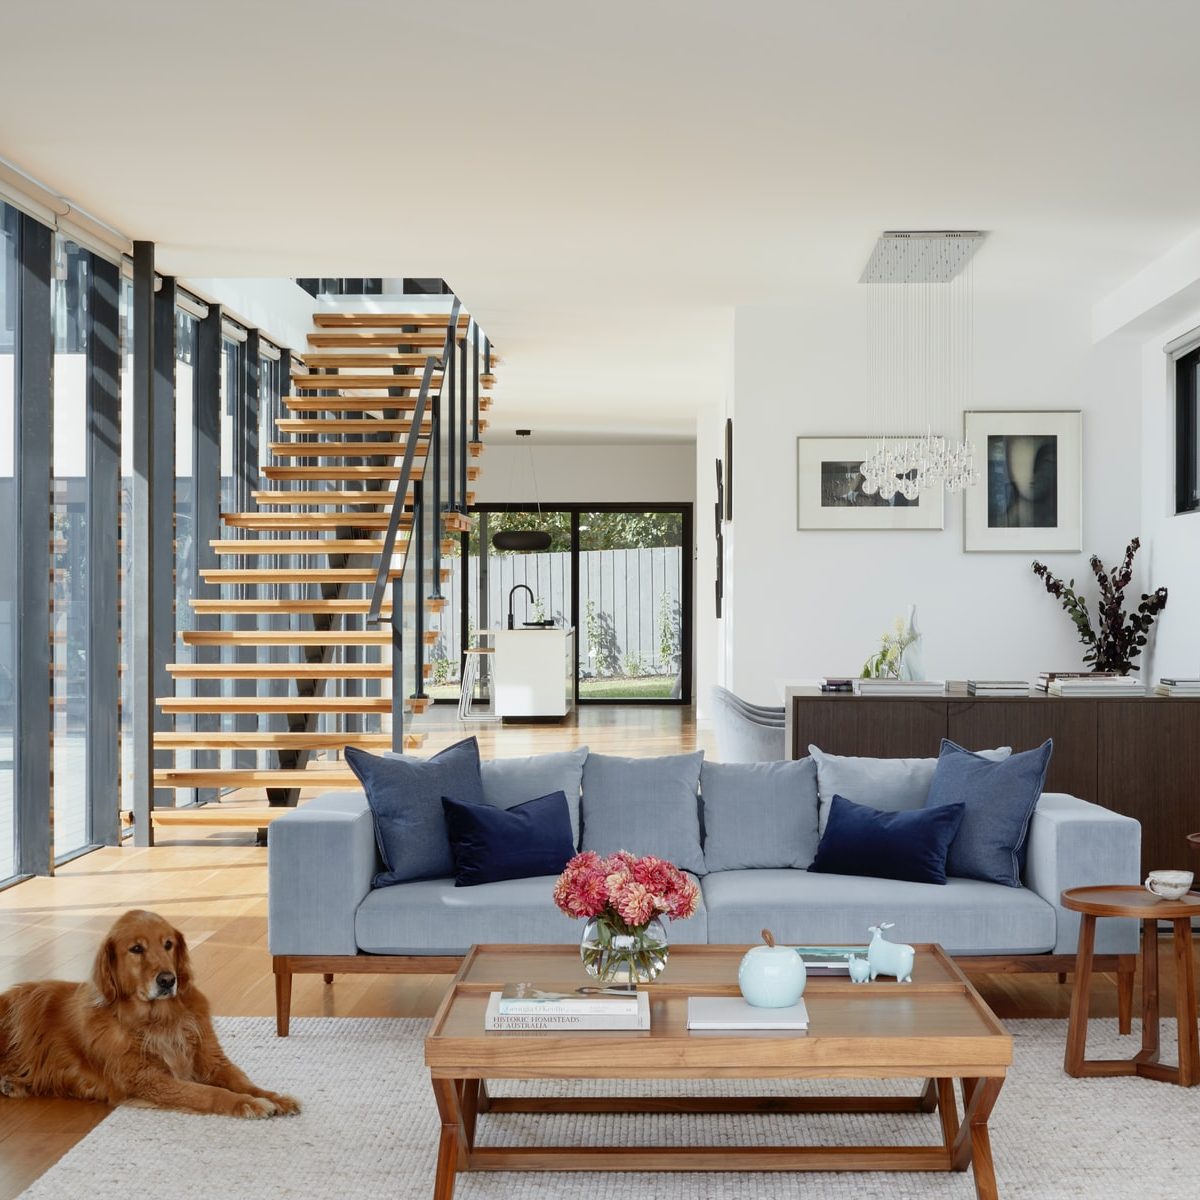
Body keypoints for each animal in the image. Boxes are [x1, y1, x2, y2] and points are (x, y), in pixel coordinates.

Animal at [0, 912, 298, 1118]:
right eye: (136, 949)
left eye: (168, 944)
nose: (168, 980)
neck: (160, 1019)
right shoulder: (149, 1080)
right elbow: (207, 1092)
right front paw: (246, 1103)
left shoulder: (212, 1061)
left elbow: (242, 1082)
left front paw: (275, 1097)